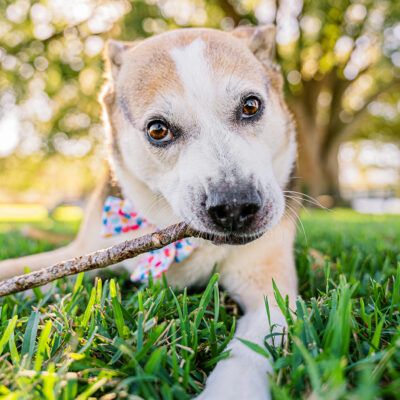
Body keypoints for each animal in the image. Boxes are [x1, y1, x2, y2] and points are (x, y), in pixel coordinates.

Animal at [0, 25, 300, 400]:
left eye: (251, 106)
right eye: (158, 130)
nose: (234, 206)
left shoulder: (271, 289)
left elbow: (252, 347)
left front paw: (231, 389)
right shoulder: (82, 252)